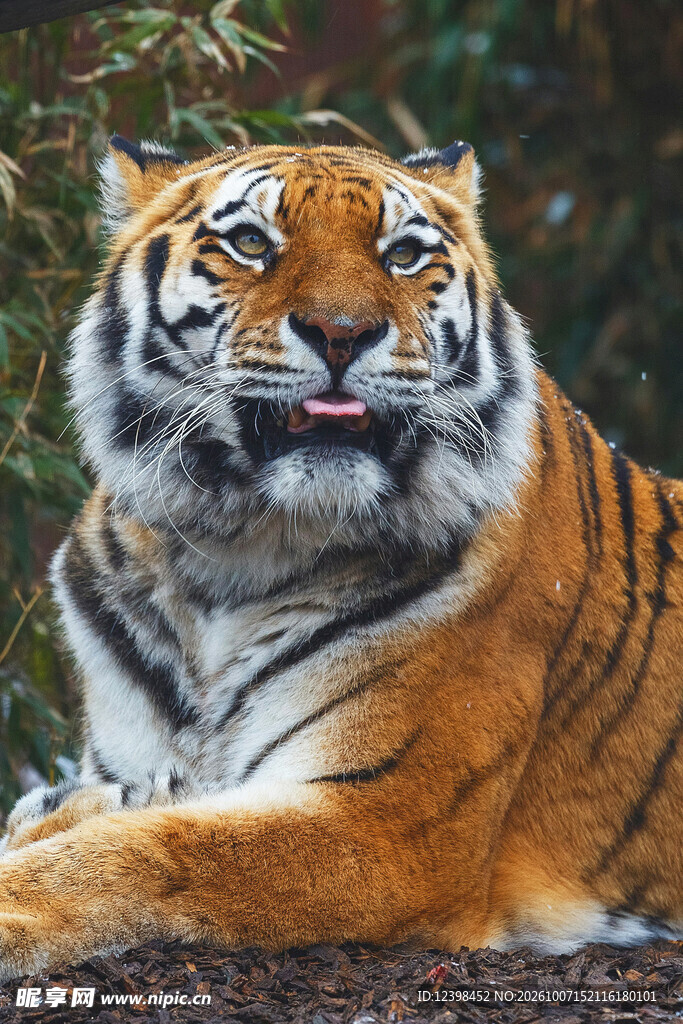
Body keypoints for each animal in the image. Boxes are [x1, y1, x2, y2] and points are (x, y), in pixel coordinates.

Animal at [0, 135, 681, 983]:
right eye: (250, 243)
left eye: (403, 254)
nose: (342, 331)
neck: (235, 554)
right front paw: (60, 808)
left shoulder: (385, 822)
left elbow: (151, 849)